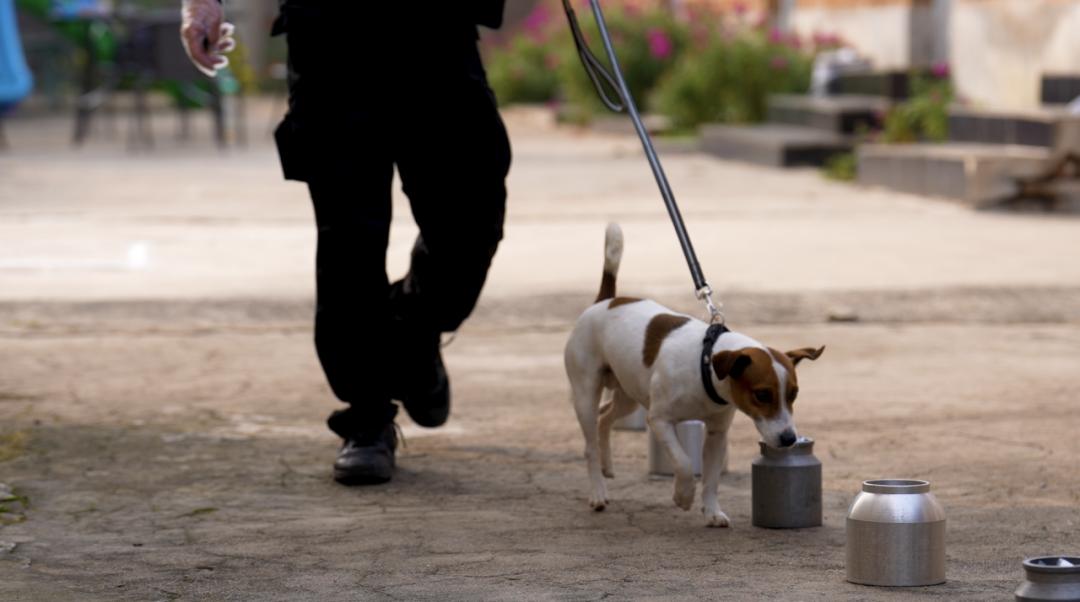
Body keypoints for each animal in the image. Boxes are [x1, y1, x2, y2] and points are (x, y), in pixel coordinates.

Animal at [561, 224, 820, 525]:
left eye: (794, 394)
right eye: (762, 394)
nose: (789, 439)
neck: (704, 367)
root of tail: (605, 301)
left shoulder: (717, 433)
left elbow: (711, 479)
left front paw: (712, 511)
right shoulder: (659, 420)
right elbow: (684, 463)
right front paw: (683, 496)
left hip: (629, 393)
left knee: (605, 416)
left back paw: (607, 466)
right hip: (586, 393)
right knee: (590, 441)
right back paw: (598, 491)